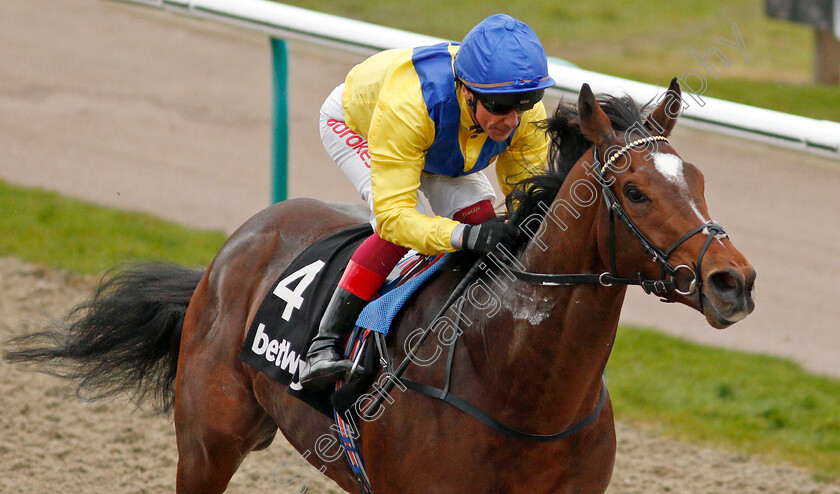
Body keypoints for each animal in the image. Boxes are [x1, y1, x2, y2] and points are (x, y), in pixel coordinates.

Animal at [3, 79, 756, 492]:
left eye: (696, 180)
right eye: (634, 190)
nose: (733, 280)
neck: (522, 388)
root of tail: (243, 236)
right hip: (208, 440)